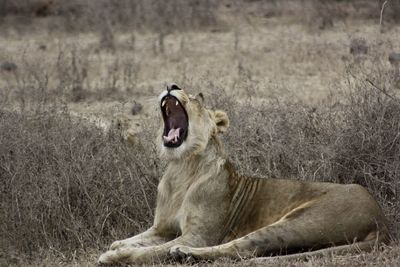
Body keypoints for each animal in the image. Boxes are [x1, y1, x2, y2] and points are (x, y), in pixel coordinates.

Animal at [98, 84, 390, 266]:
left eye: (196, 99)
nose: (172, 84)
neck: (180, 168)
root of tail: (382, 220)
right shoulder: (162, 228)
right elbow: (130, 240)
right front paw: (118, 246)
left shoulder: (198, 235)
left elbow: (149, 252)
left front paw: (114, 256)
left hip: (300, 221)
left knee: (243, 248)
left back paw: (183, 253)